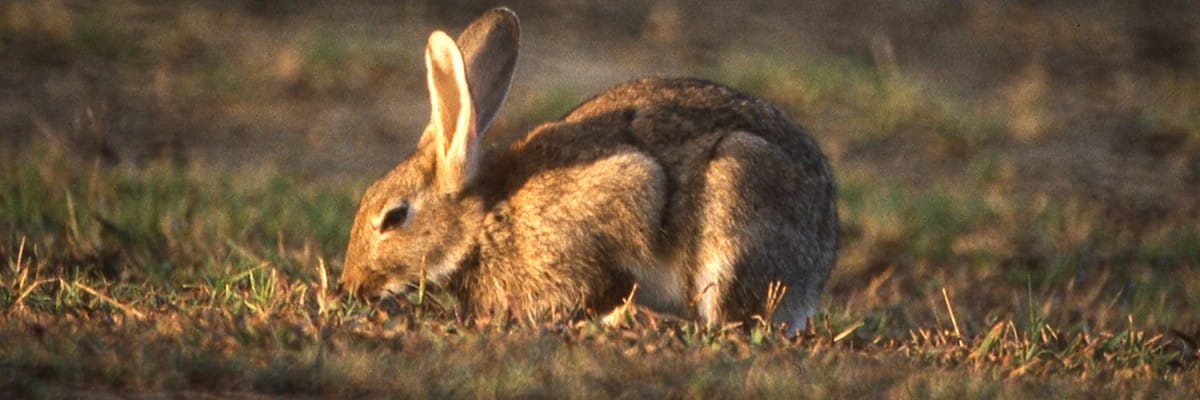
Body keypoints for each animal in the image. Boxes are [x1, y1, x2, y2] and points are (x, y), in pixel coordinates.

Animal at [338, 7, 838, 332]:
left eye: (394, 218)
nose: (350, 286)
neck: (483, 221)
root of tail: (818, 268)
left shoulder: (624, 196)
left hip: (737, 198)